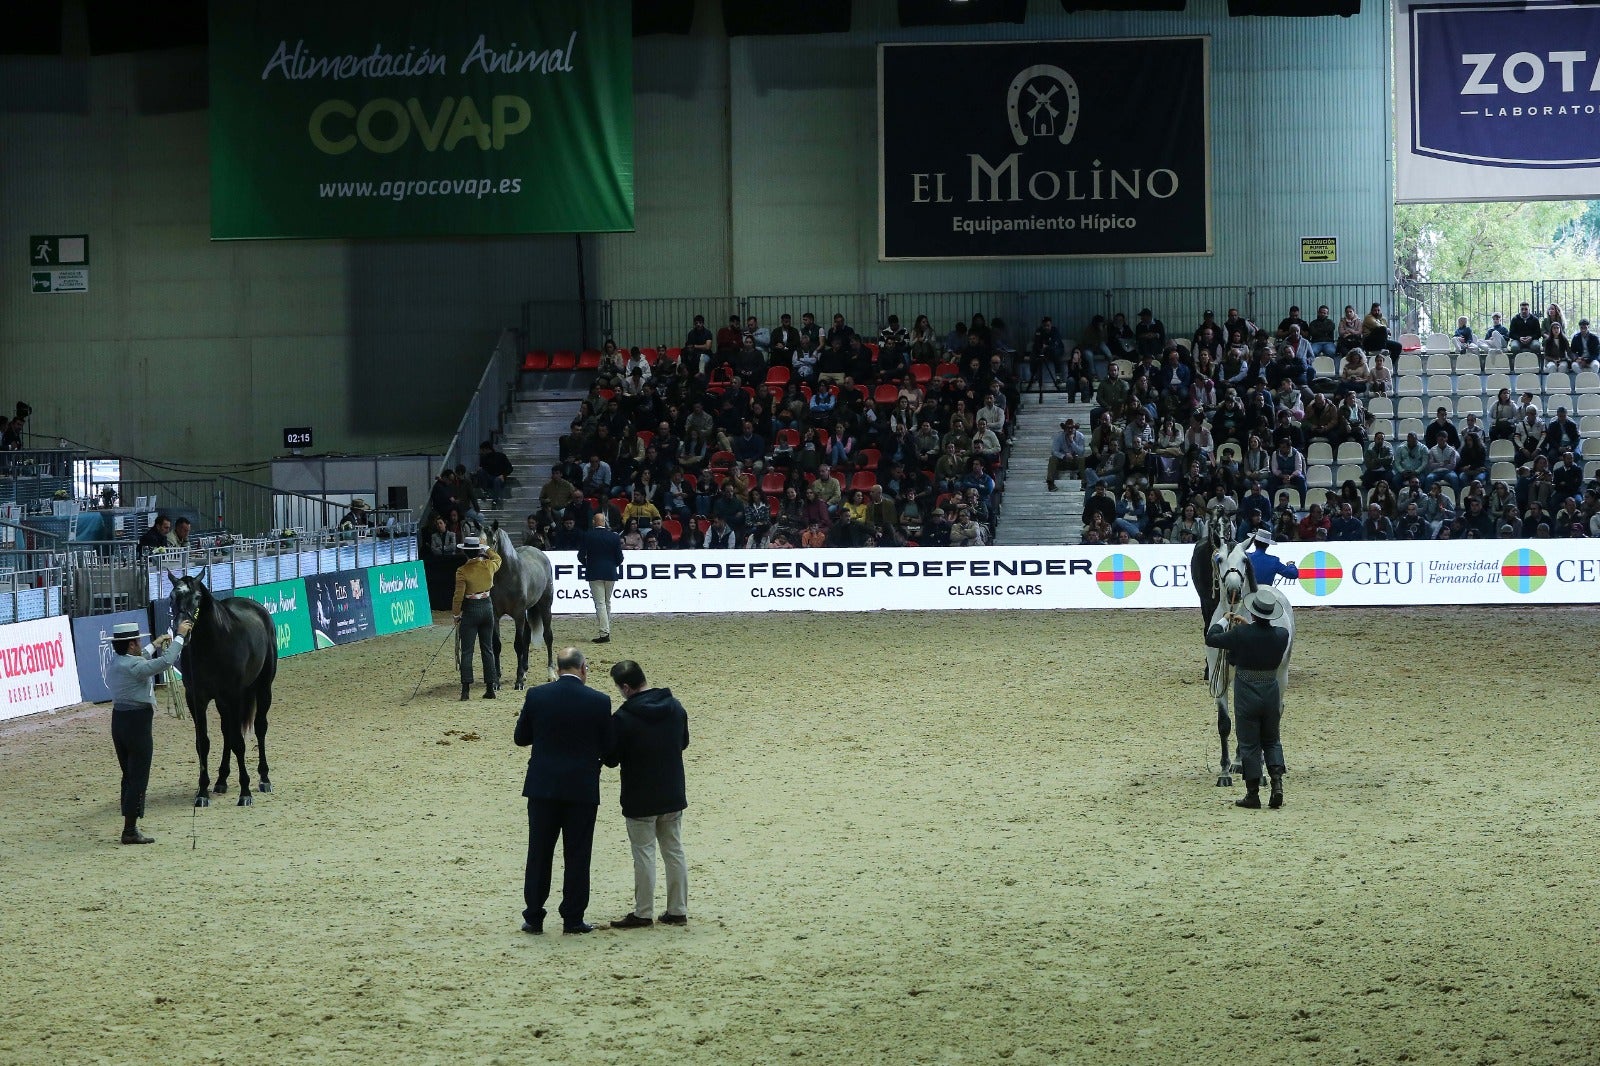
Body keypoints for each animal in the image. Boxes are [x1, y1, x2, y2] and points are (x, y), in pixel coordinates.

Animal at [169, 573, 278, 806]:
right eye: (172, 596)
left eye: (197, 597)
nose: (182, 630)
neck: (211, 646)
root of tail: (258, 608)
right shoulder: (196, 699)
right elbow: (203, 743)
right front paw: (202, 792)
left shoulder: (233, 696)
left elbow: (239, 742)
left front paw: (245, 792)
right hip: (221, 702)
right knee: (227, 731)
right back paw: (221, 780)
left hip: (263, 689)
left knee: (260, 728)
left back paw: (264, 779)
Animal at [486, 524, 556, 688]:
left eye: (493, 541)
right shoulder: (495, 615)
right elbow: (496, 645)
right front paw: (496, 682)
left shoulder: (518, 614)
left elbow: (518, 644)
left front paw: (518, 682)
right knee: (528, 635)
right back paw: (524, 671)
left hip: (545, 606)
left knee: (547, 636)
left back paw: (550, 674)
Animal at [1203, 531, 1292, 781]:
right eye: (1219, 559)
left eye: (1244, 559)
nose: (1233, 588)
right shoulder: (1220, 678)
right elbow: (1225, 722)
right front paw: (1225, 770)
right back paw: (1239, 761)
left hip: (1281, 674)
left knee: (1275, 712)